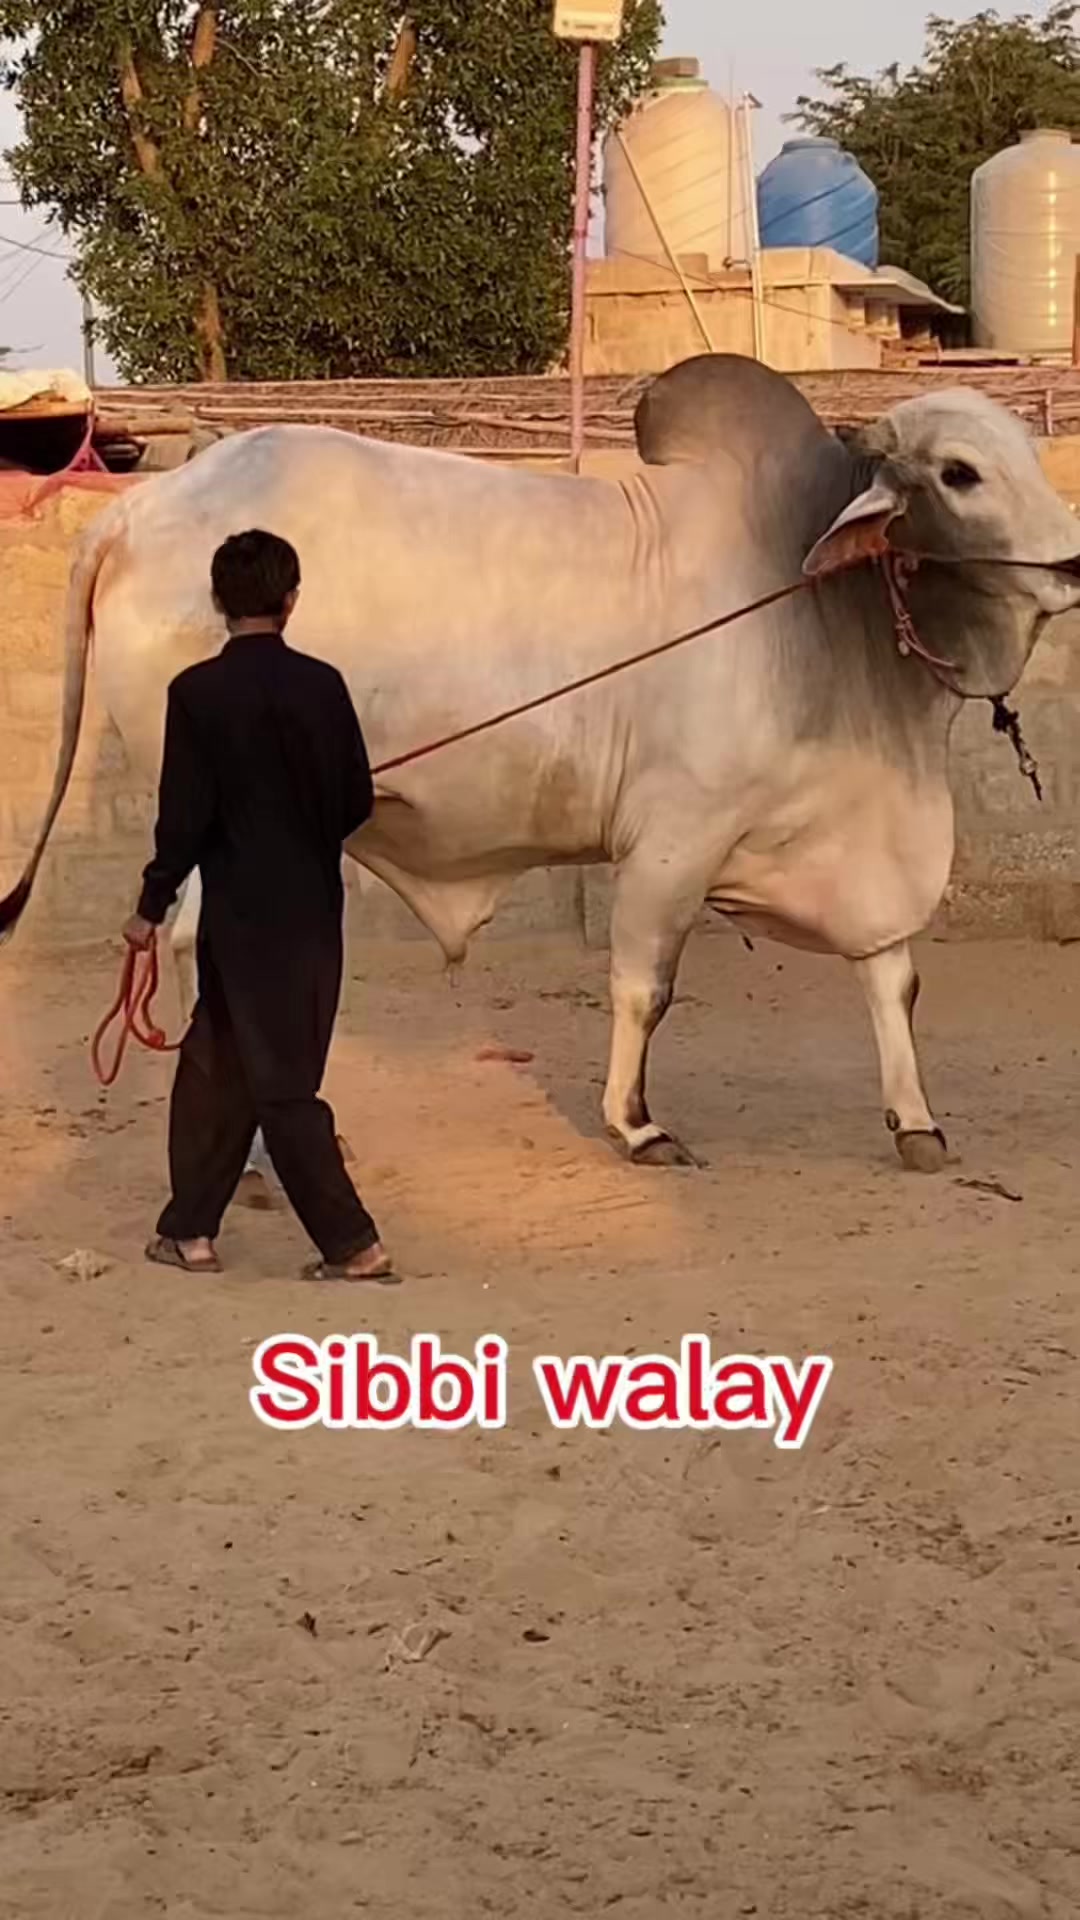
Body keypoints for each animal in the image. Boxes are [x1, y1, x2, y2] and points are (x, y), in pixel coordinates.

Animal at [3, 354, 1078, 1173]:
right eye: (961, 473)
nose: (1072, 562)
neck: (815, 601)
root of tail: (138, 512)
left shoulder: (843, 848)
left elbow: (893, 979)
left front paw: (917, 1121)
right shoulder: (673, 839)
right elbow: (647, 984)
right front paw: (636, 1125)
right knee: (201, 946)